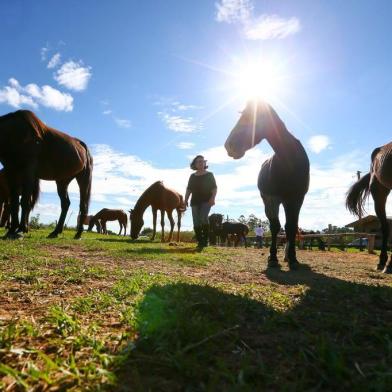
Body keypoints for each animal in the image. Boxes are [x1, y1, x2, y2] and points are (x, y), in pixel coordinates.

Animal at [0, 109, 92, 239]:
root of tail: (82, 146)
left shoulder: (28, 169)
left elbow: (24, 201)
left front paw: (20, 230)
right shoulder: (11, 171)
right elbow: (14, 203)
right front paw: (12, 230)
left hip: (83, 179)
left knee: (82, 205)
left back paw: (78, 234)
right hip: (62, 181)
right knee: (65, 204)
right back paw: (55, 232)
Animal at [224, 100, 310, 270]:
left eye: (248, 116)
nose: (228, 145)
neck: (289, 161)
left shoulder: (297, 198)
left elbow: (291, 227)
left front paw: (293, 259)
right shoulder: (272, 198)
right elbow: (275, 227)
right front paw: (273, 258)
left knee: (290, 227)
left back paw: (288, 256)